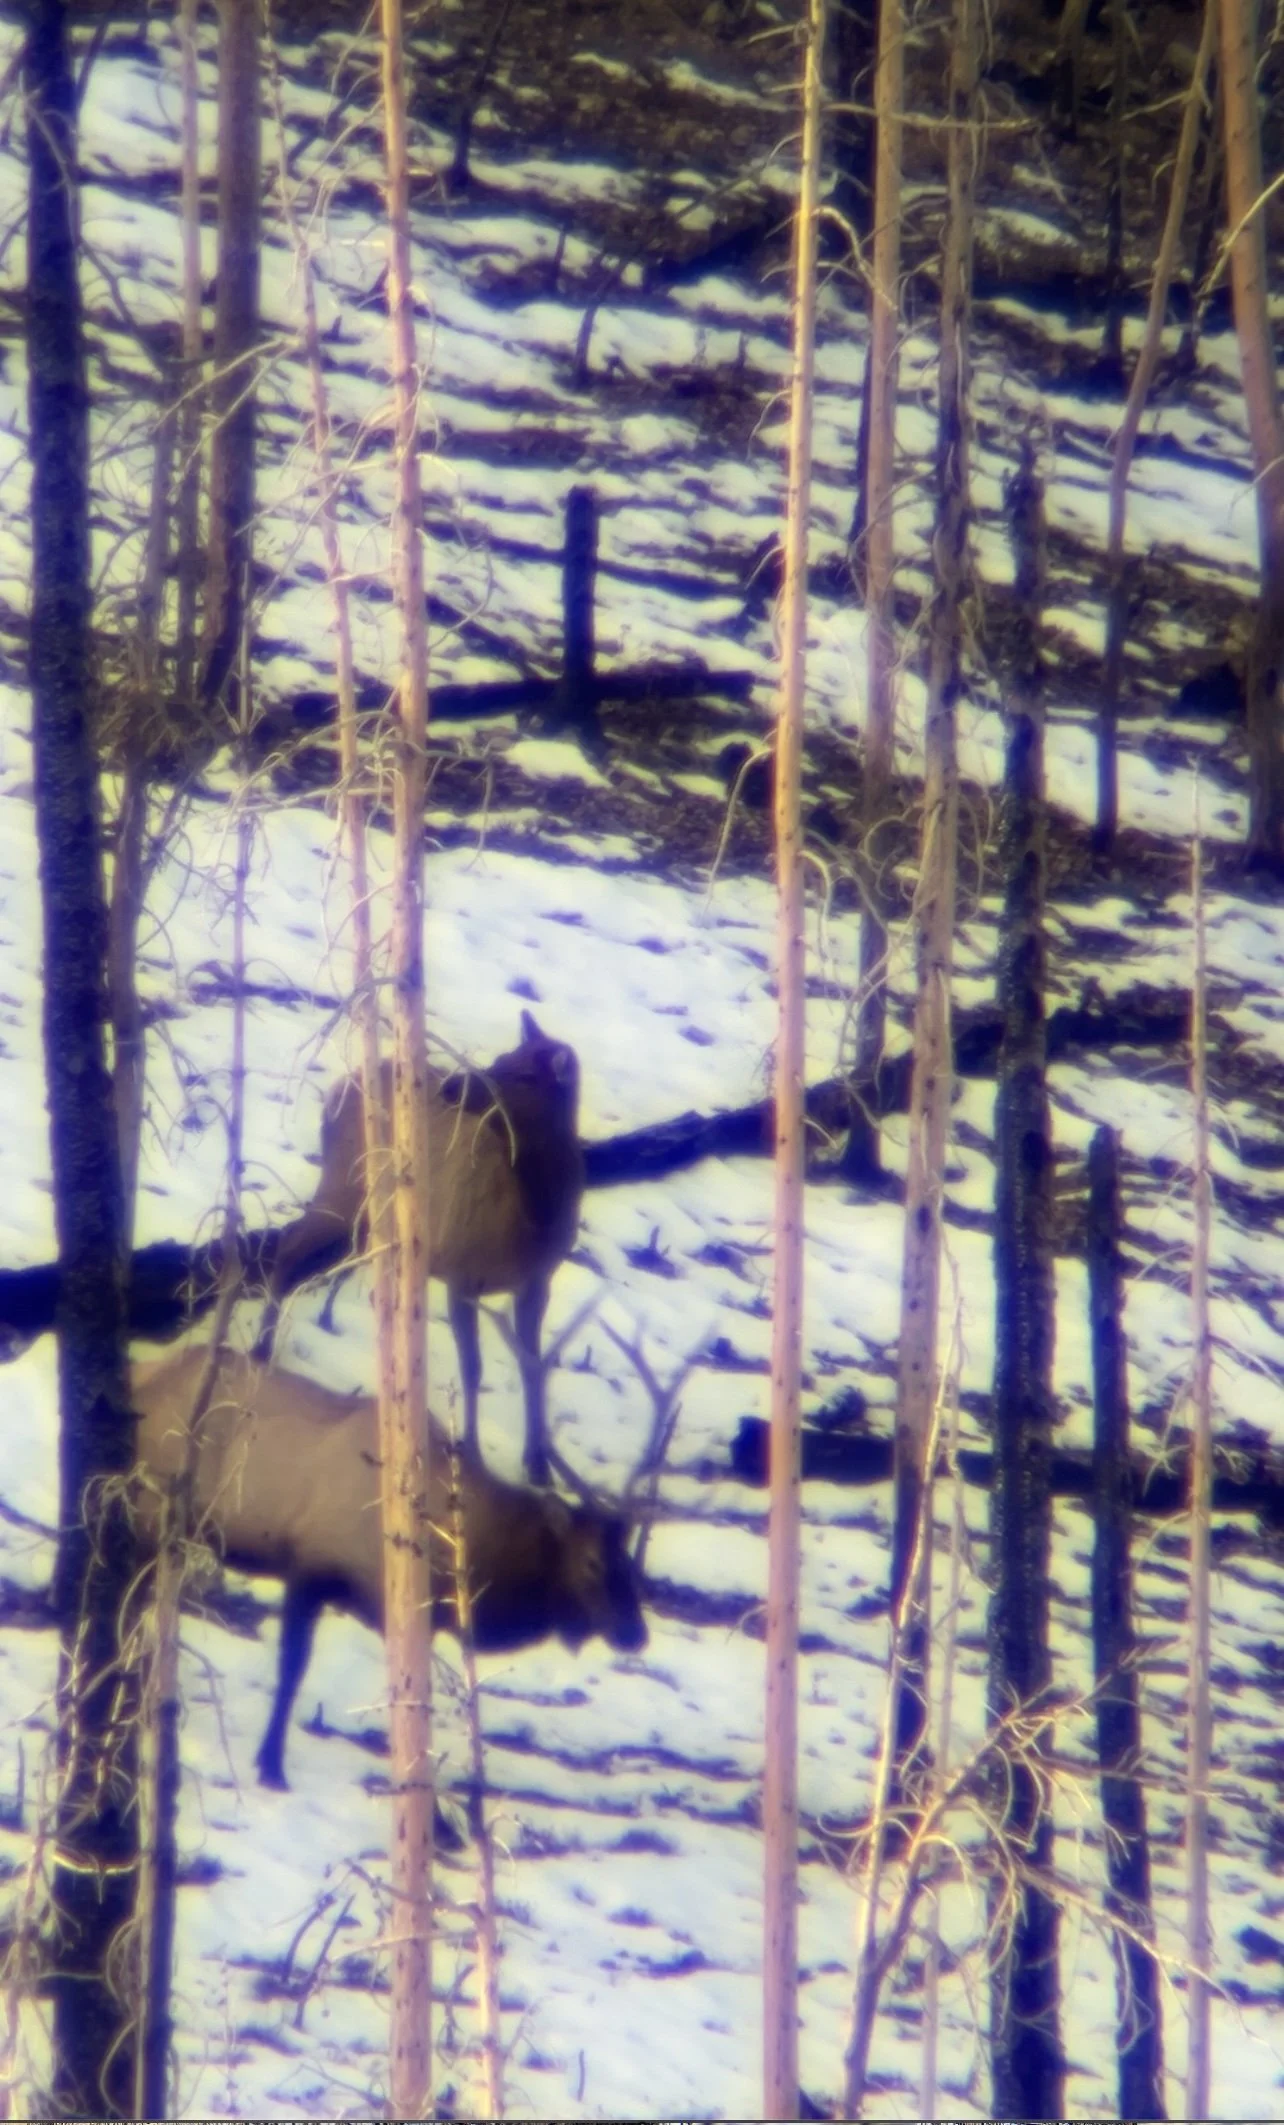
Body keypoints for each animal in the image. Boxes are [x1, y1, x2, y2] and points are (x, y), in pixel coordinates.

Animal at [130, 1343, 648, 1789]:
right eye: (592, 1561)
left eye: (631, 1564)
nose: (636, 1634)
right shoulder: (311, 1565)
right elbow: (292, 1669)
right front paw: (270, 1766)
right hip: (154, 1514)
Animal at [255, 1010, 584, 1484]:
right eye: (501, 1058)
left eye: (525, 1075)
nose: (454, 1086)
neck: (531, 1224)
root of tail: (336, 1087)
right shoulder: (462, 1270)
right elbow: (472, 1368)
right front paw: (472, 1453)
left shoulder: (539, 1281)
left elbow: (531, 1368)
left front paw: (538, 1469)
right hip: (344, 1189)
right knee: (288, 1244)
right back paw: (261, 1351)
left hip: (368, 1218)